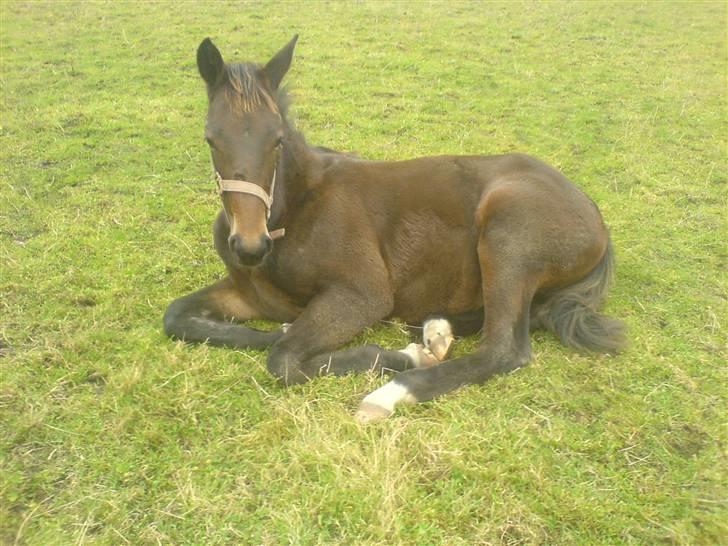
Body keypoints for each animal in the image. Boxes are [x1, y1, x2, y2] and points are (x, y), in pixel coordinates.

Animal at [161, 36, 624, 422]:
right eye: (210, 139)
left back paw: (391, 392)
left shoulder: (363, 294)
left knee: (504, 348)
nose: (250, 246)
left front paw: (406, 358)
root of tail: (593, 213)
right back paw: (436, 330)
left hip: (508, 235)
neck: (293, 213)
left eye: (276, 139)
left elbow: (285, 360)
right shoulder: (250, 295)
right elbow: (181, 318)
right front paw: (287, 328)